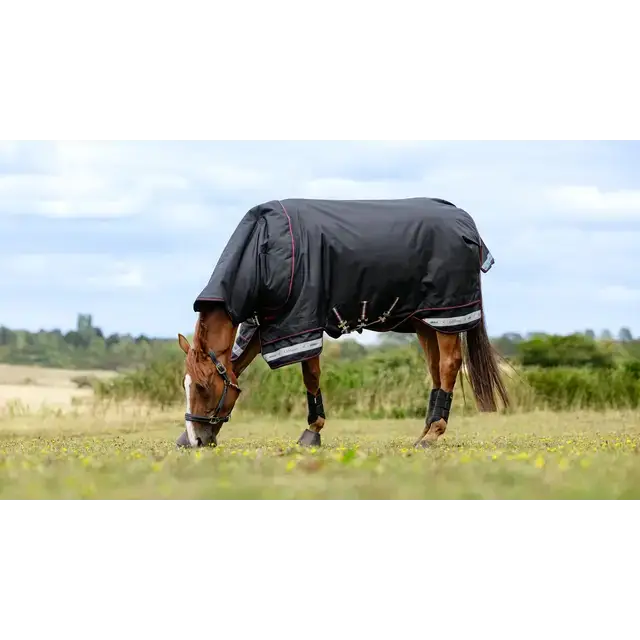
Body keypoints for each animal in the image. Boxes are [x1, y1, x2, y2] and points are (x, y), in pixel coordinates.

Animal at [175, 196, 510, 449]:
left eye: (203, 387)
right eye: (186, 385)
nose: (196, 440)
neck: (265, 251)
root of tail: (464, 220)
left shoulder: (302, 322)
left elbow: (310, 376)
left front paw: (313, 431)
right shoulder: (268, 322)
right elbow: (238, 363)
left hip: (446, 314)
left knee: (449, 365)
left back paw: (433, 435)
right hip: (426, 321)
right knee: (436, 369)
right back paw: (425, 432)